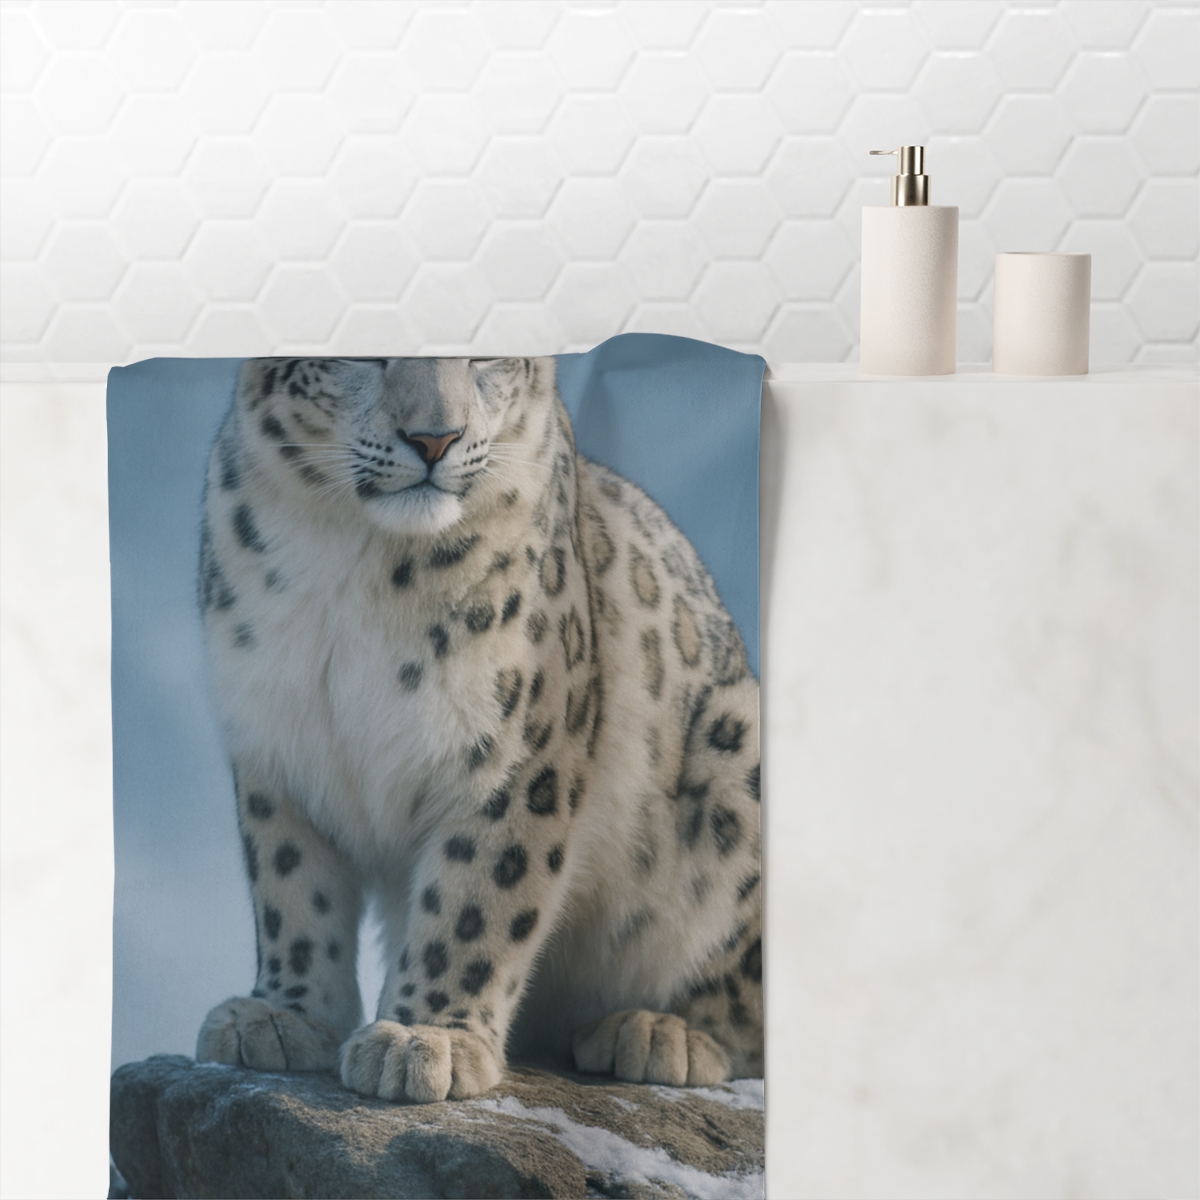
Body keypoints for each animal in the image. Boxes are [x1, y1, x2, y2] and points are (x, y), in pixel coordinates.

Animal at [195, 355, 762, 1104]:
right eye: (363, 356)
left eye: (484, 357)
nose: (435, 438)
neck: (357, 561)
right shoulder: (274, 738)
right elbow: (291, 885)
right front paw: (283, 1015)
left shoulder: (515, 745)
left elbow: (478, 892)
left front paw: (424, 1037)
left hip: (741, 749)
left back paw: (658, 1033)